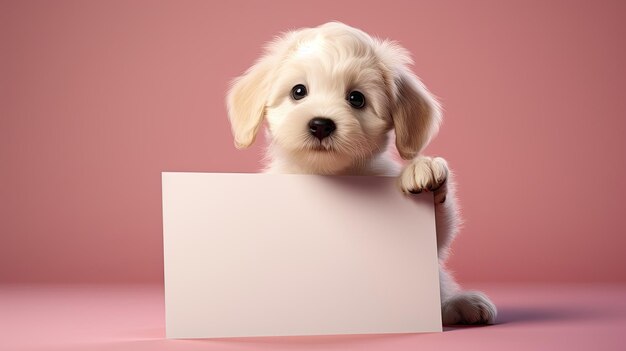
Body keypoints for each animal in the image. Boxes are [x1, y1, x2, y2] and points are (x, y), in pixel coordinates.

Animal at [227, 21, 494, 324]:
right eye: (298, 91)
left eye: (356, 98)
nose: (321, 125)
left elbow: (440, 233)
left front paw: (423, 169)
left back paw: (460, 303)